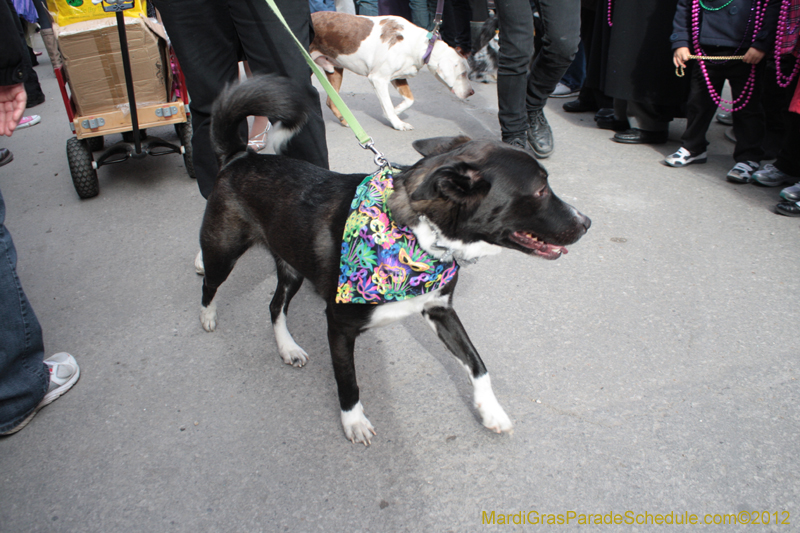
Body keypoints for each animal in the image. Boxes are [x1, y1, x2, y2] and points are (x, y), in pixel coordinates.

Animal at [198, 76, 592, 444]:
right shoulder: (339, 327)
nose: (586, 222)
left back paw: (288, 347)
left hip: (291, 265)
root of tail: (241, 157)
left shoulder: (440, 310)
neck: (417, 239)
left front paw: (490, 410)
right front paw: (354, 421)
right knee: (211, 285)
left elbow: (478, 365)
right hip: (223, 252)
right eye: (540, 191)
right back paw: (207, 315)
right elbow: (348, 382)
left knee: (275, 306)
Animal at [310, 11, 476, 130]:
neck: (421, 45)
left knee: (331, 100)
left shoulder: (399, 77)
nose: (472, 92)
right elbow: (388, 105)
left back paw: (345, 120)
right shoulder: (378, 79)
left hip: (335, 70)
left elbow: (409, 100)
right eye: (463, 74)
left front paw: (394, 113)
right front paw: (397, 123)